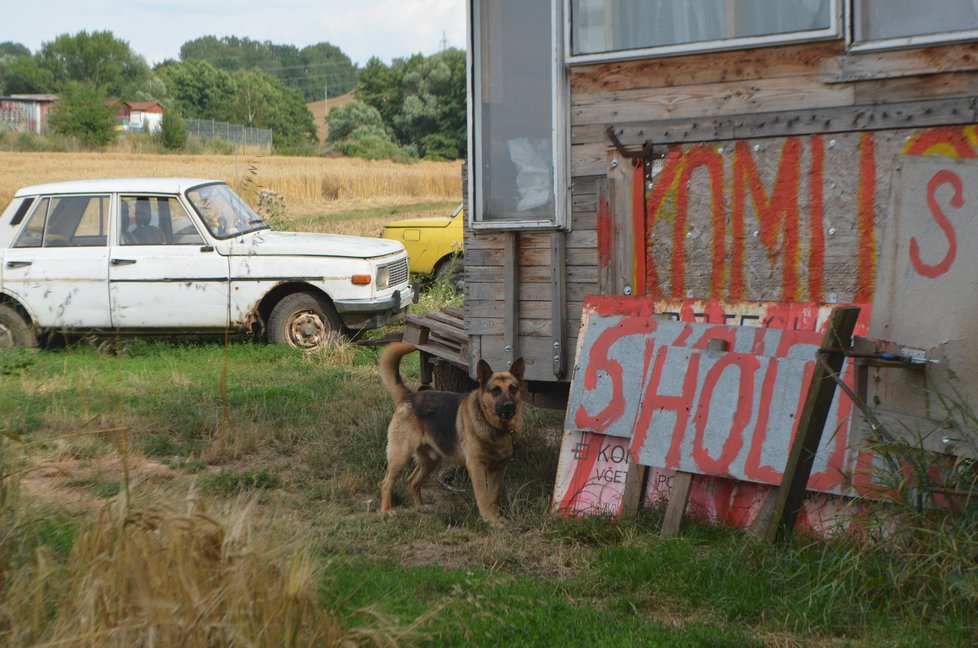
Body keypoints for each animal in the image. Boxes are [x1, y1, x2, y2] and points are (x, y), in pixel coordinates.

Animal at [378, 342, 524, 524]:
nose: (509, 406)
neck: (493, 426)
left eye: (513, 389)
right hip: (401, 455)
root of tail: (409, 396)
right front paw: (490, 520)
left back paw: (420, 506)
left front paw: (496, 517)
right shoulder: (476, 467)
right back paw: (386, 511)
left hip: (431, 460)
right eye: (496, 390)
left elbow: (494, 497)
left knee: (412, 481)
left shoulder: (498, 469)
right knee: (386, 483)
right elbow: (484, 497)